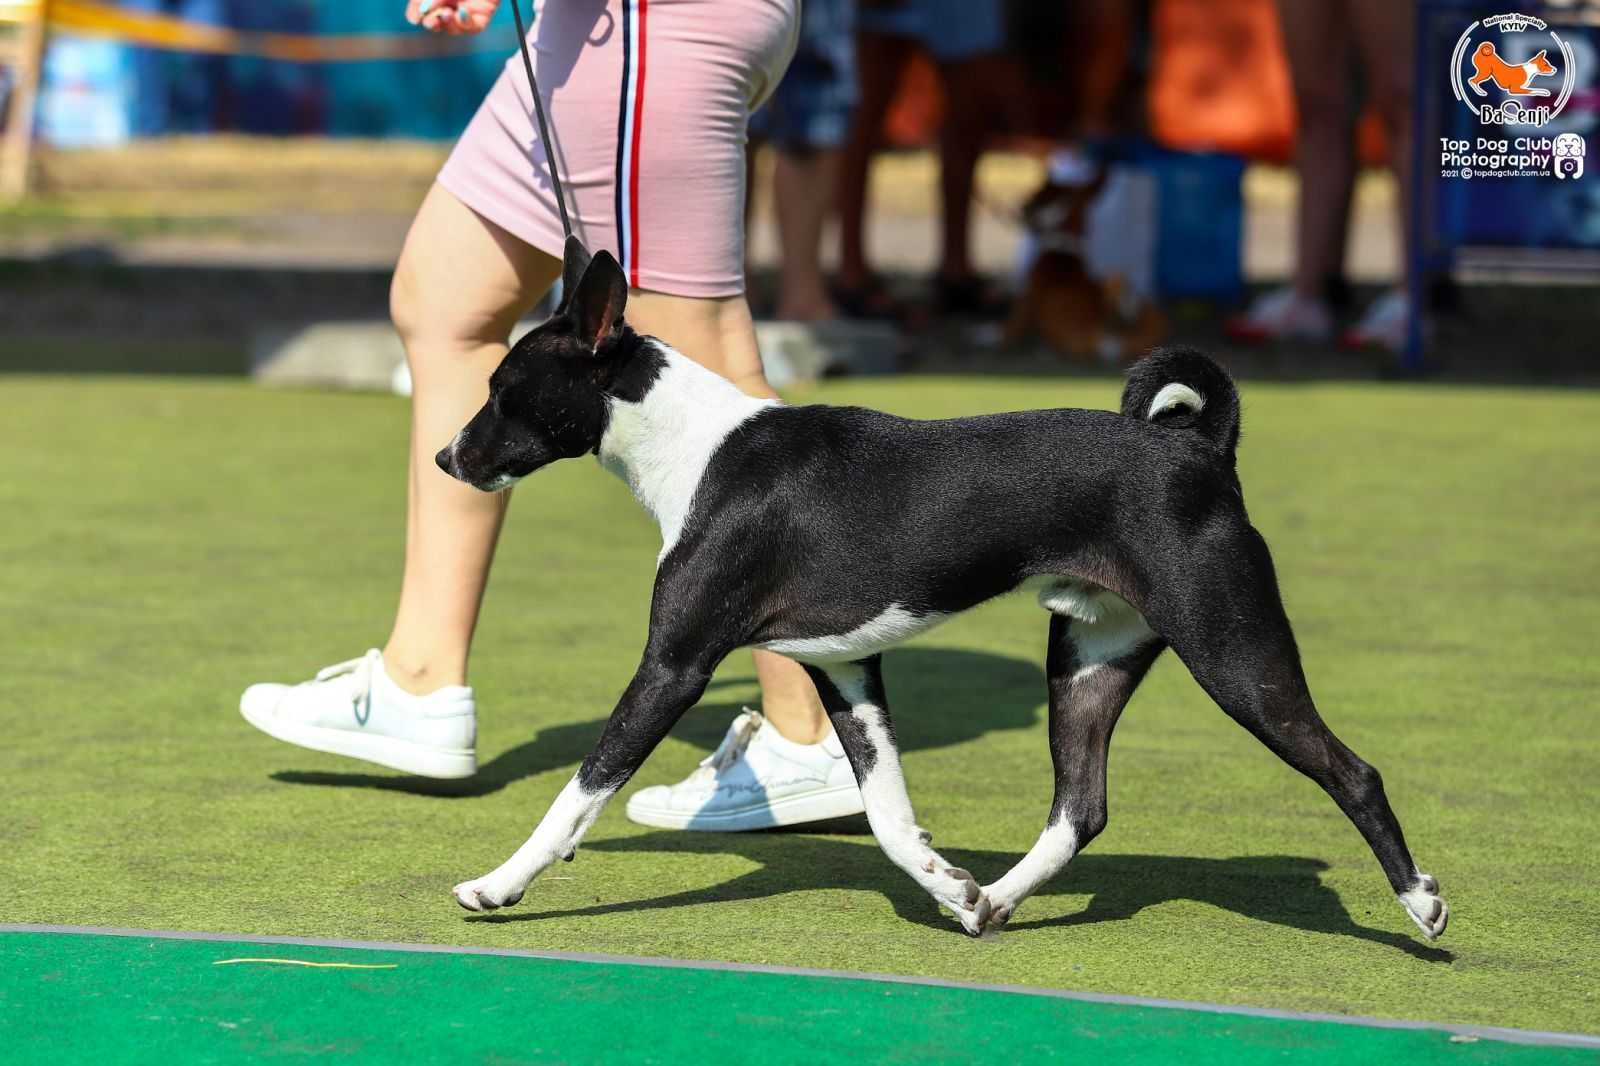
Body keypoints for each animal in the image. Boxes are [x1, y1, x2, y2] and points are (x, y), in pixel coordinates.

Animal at [435, 246, 1452, 941]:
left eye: (500, 387)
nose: (446, 456)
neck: (695, 449)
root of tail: (1200, 450)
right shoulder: (846, 673)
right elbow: (888, 817)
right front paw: (945, 881)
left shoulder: (673, 665)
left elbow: (579, 790)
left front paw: (499, 883)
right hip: (1089, 664)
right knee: (1080, 809)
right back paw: (993, 901)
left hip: (1235, 657)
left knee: (1354, 772)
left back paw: (1421, 906)